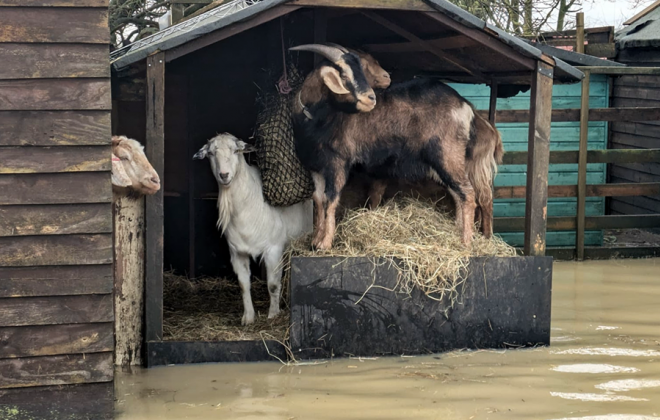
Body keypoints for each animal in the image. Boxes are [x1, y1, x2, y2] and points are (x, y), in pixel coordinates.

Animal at [193, 133, 313, 325]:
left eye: (236, 151)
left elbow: (273, 284)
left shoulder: (273, 249)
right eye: (211, 153)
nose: (224, 175)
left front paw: (273, 314)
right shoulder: (237, 253)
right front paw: (248, 317)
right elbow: (243, 285)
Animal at [290, 44, 495, 249]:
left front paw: (324, 244)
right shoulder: (315, 167)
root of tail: (464, 107)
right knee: (458, 193)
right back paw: (457, 232)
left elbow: (331, 199)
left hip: (447, 154)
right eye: (345, 76)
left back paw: (466, 242)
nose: (371, 98)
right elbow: (319, 198)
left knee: (468, 193)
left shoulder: (337, 162)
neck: (316, 119)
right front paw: (315, 240)